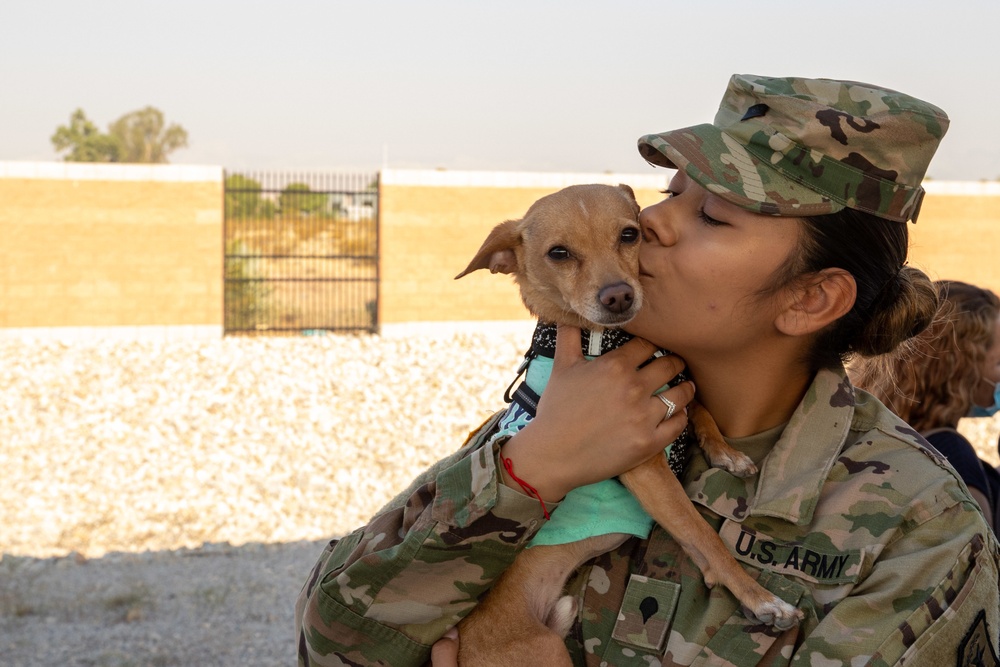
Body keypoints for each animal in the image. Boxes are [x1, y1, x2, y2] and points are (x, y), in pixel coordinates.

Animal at [454, 184, 804, 667]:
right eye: (558, 253)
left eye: (629, 234)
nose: (618, 296)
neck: (605, 341)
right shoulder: (645, 467)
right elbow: (704, 535)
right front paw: (763, 600)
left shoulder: (672, 386)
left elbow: (696, 403)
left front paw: (726, 453)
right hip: (543, 652)